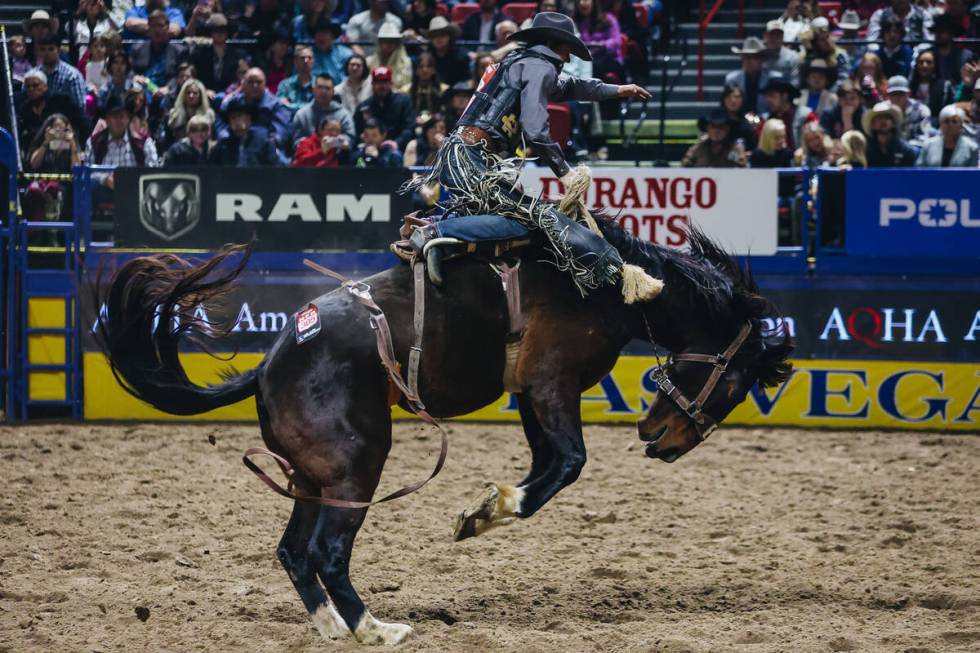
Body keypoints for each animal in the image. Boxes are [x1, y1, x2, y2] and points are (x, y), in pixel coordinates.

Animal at [95, 216, 792, 644]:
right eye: (736, 387)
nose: (662, 440)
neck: (607, 285)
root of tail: (268, 364)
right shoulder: (553, 382)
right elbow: (567, 462)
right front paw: (493, 508)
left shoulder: (529, 390)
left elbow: (547, 460)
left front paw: (482, 511)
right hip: (356, 467)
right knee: (327, 552)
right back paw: (377, 629)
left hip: (313, 477)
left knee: (294, 550)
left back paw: (333, 628)